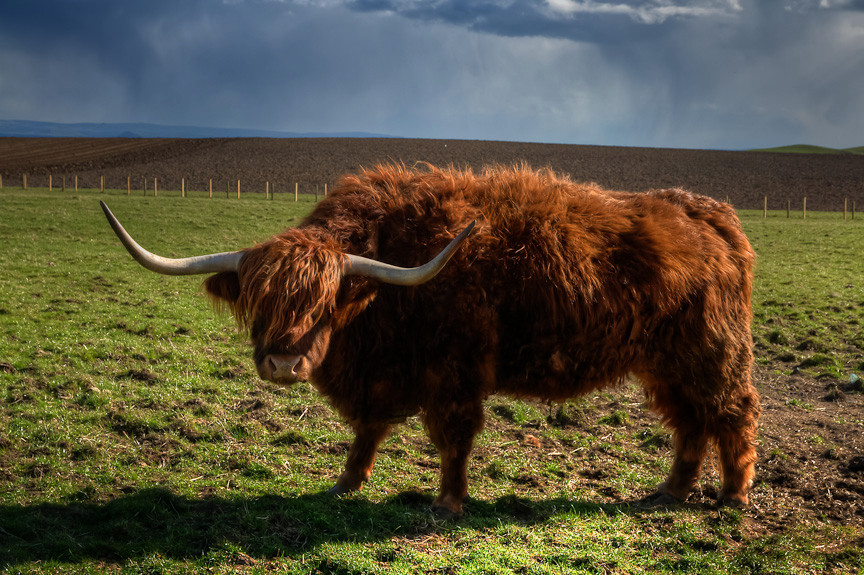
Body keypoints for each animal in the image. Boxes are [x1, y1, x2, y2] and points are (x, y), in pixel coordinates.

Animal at [104, 163, 760, 516]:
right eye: (261, 301)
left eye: (321, 303)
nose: (284, 363)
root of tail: (711, 214)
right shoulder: (381, 375)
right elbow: (367, 432)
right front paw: (345, 484)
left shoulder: (454, 371)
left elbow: (453, 439)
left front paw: (446, 504)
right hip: (666, 363)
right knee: (691, 423)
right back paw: (669, 492)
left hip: (711, 352)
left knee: (733, 414)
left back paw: (733, 496)